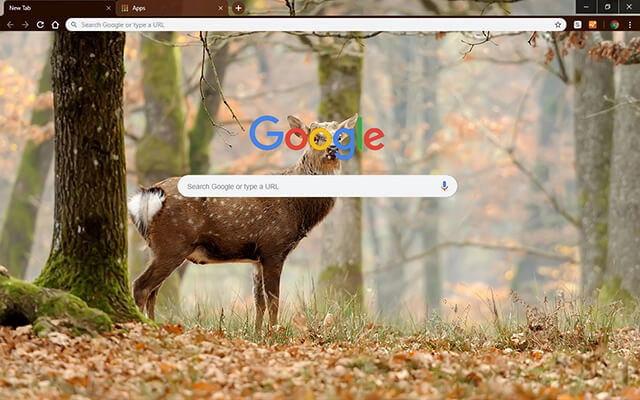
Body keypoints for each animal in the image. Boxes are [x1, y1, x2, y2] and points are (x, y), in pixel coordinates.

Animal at [128, 114, 358, 331]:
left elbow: (259, 302)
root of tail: (149, 196)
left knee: (153, 291)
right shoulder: (273, 247)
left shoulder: (256, 258)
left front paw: (257, 334)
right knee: (141, 286)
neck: (298, 211)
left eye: (341, 136)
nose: (333, 149)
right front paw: (275, 333)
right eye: (316, 137)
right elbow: (274, 300)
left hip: (158, 247)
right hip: (173, 243)